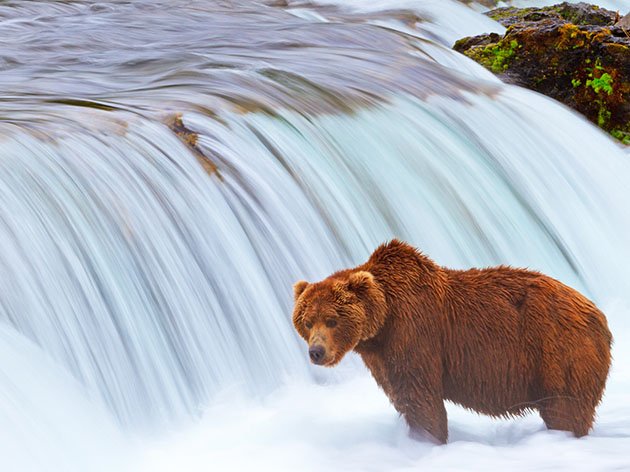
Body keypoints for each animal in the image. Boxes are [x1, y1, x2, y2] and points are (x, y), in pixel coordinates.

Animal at [294, 240, 616, 442]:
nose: (316, 352)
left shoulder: (414, 333)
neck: (382, 320)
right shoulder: (382, 356)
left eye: (332, 319)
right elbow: (402, 396)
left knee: (565, 409)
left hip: (560, 352)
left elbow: (421, 399)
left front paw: (428, 437)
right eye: (307, 321)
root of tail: (599, 314)